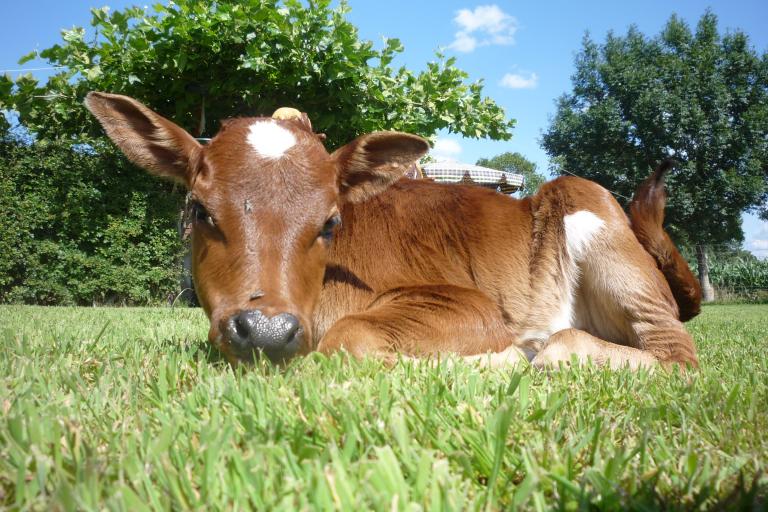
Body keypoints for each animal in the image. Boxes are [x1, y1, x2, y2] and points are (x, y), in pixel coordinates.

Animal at [87, 92, 700, 370]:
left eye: (330, 221)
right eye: (199, 211)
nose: (264, 330)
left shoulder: (473, 306)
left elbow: (349, 337)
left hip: (589, 210)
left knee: (670, 354)